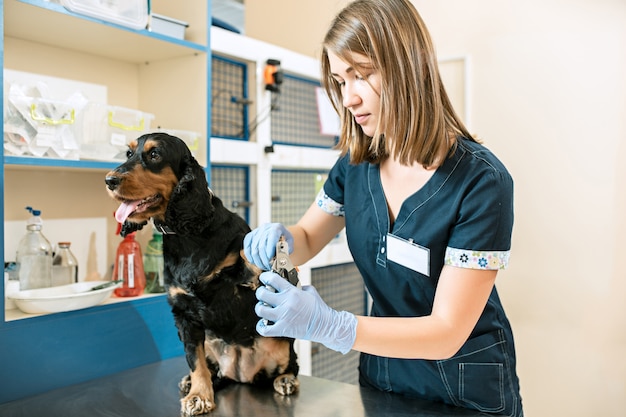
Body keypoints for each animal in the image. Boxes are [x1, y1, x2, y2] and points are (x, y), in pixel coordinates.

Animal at [104, 132, 298, 412]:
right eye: (129, 154)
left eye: (154, 154)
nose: (109, 180)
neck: (187, 234)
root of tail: (241, 373)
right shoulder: (184, 315)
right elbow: (194, 361)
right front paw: (199, 395)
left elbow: (243, 251)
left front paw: (252, 259)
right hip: (208, 341)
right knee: (210, 367)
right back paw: (195, 381)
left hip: (280, 339)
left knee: (291, 360)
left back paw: (286, 379)